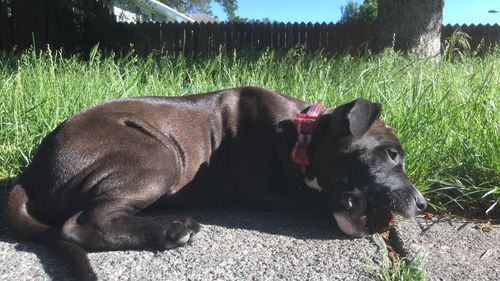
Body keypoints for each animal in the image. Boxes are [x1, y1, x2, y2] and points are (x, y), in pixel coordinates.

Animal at [3, 86, 426, 278]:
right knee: (79, 224)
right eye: (391, 153)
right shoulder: (264, 190)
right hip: (157, 154)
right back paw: (172, 229)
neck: (303, 134)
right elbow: (312, 196)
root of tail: (31, 170)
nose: (423, 204)